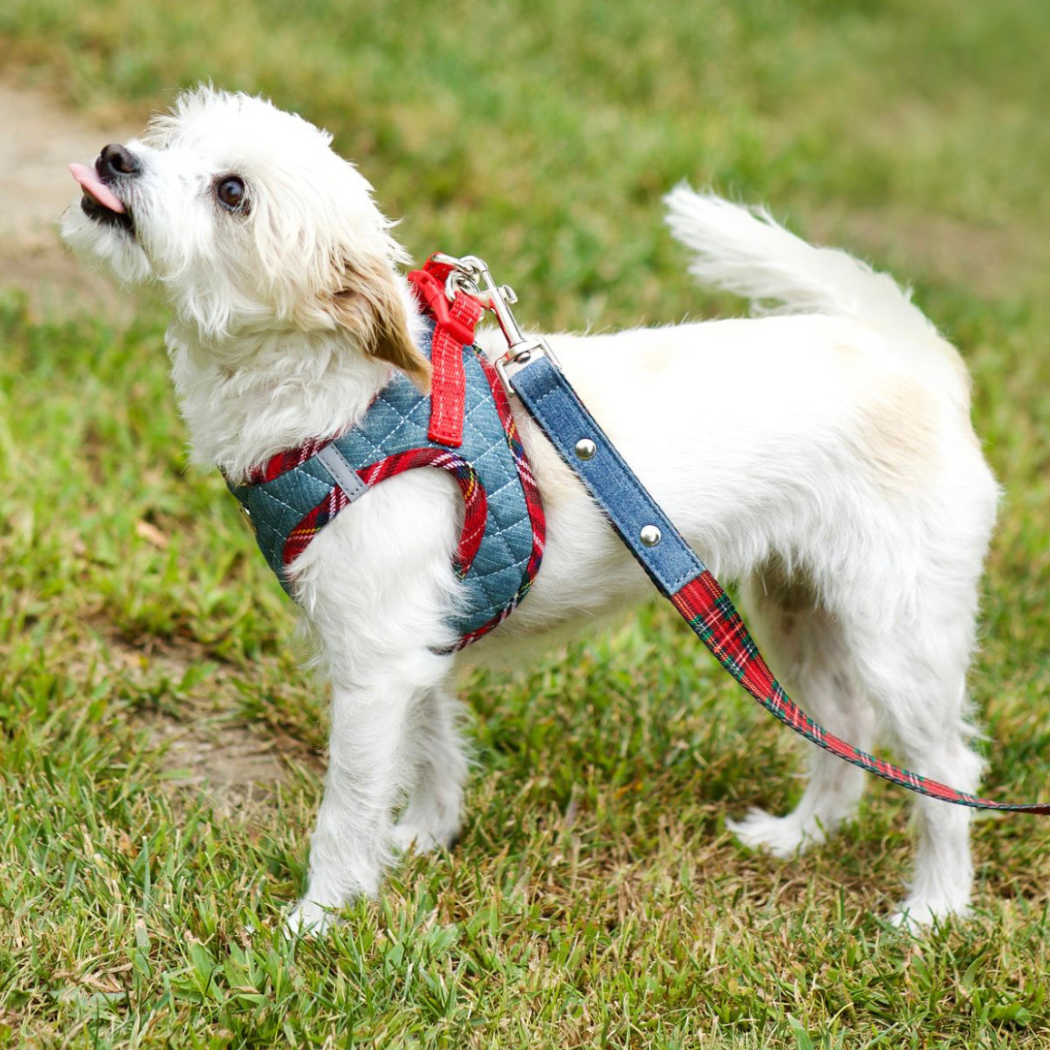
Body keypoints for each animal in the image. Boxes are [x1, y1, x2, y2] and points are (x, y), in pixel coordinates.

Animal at [63, 86, 999, 932]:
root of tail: (912, 358)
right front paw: (426, 838)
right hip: (796, 611)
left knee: (948, 773)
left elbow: (347, 806)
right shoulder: (420, 642)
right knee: (841, 727)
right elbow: (434, 748)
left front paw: (318, 919)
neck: (341, 399)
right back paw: (802, 837)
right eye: (171, 138)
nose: (112, 158)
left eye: (232, 192)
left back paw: (933, 910)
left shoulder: (374, 666)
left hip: (902, 636)